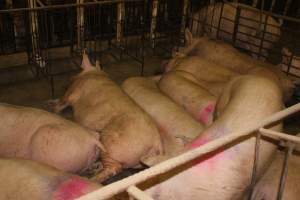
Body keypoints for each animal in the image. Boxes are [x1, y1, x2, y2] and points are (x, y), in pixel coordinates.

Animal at [52, 53, 163, 183]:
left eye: (79, 70)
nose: (69, 80)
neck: (94, 72)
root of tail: (156, 142)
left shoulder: (73, 92)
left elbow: (63, 101)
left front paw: (53, 108)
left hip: (110, 142)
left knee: (114, 168)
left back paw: (92, 179)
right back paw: (94, 169)